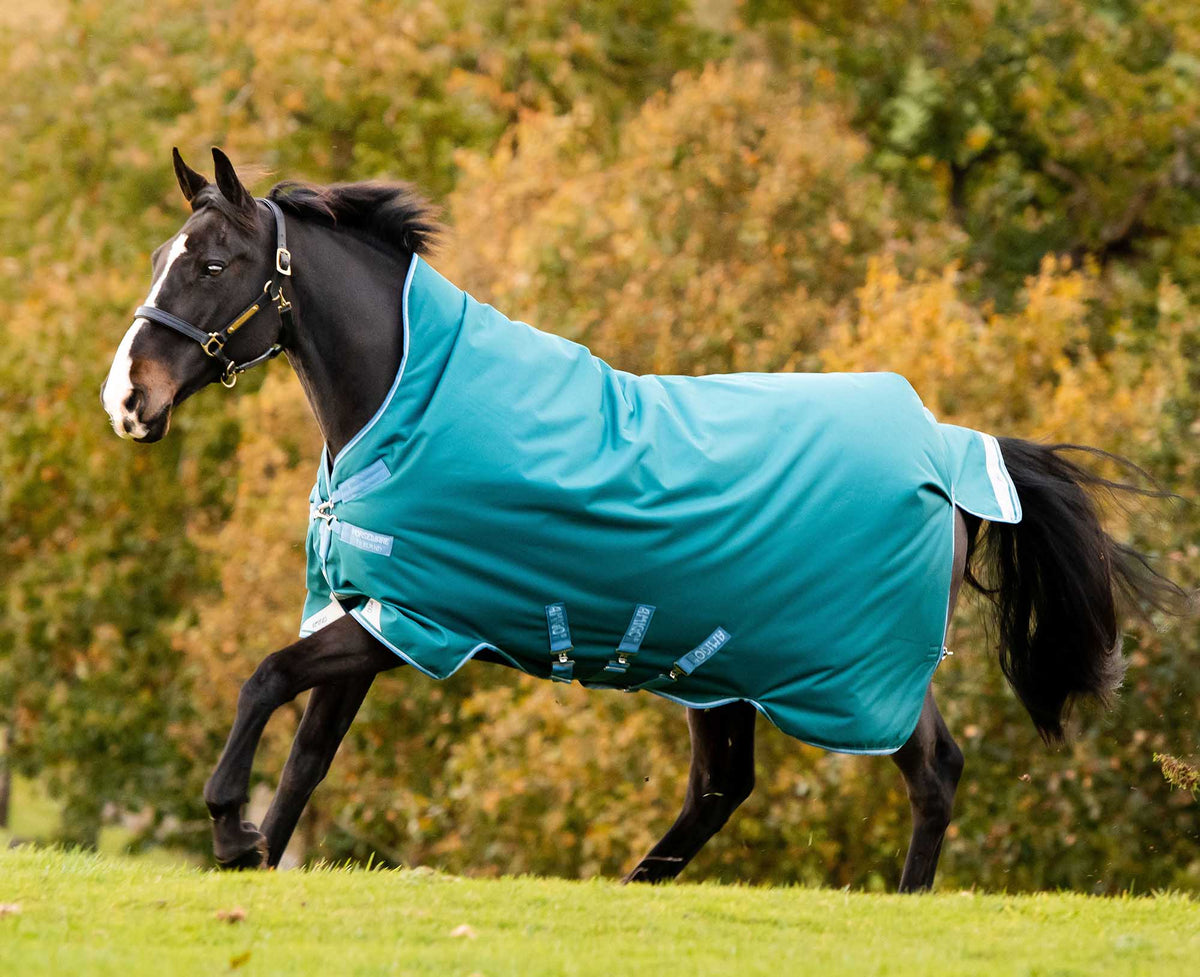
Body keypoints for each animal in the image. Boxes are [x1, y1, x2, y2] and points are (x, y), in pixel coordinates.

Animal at [101, 148, 1185, 889]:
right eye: (161, 255)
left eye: (213, 263)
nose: (128, 399)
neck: (409, 401)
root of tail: (953, 449)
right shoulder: (373, 615)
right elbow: (308, 753)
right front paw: (257, 853)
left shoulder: (418, 623)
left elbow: (264, 680)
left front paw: (227, 827)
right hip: (724, 668)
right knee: (722, 787)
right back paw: (635, 886)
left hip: (857, 667)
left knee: (935, 770)